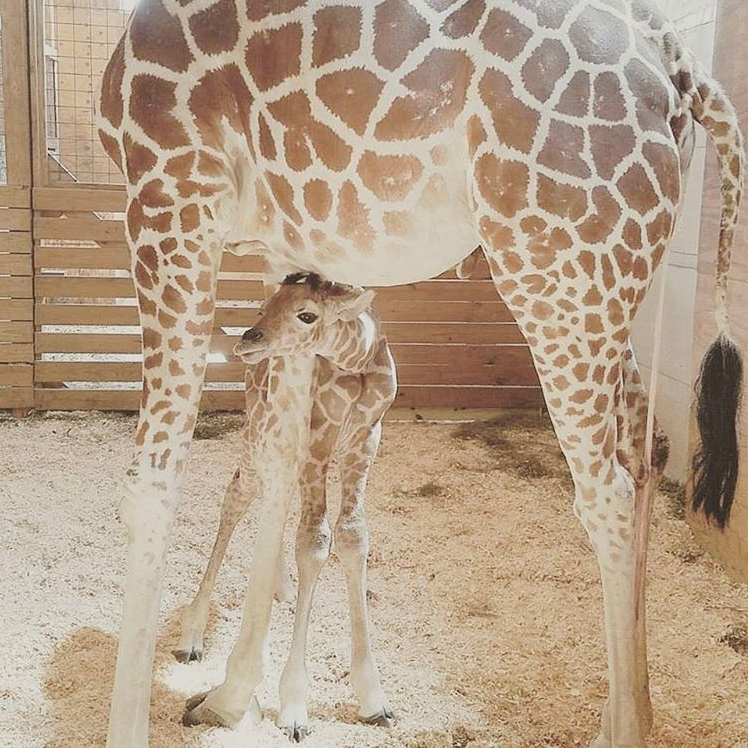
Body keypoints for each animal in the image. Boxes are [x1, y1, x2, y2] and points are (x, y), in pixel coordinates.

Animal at [176, 272, 397, 739]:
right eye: (265, 306)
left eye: (306, 314)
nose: (248, 339)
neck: (357, 358)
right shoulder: (316, 441)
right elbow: (313, 543)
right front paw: (295, 706)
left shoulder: (366, 438)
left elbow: (352, 537)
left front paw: (374, 699)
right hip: (257, 436)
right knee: (236, 497)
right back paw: (192, 638)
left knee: (275, 503)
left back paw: (282, 588)